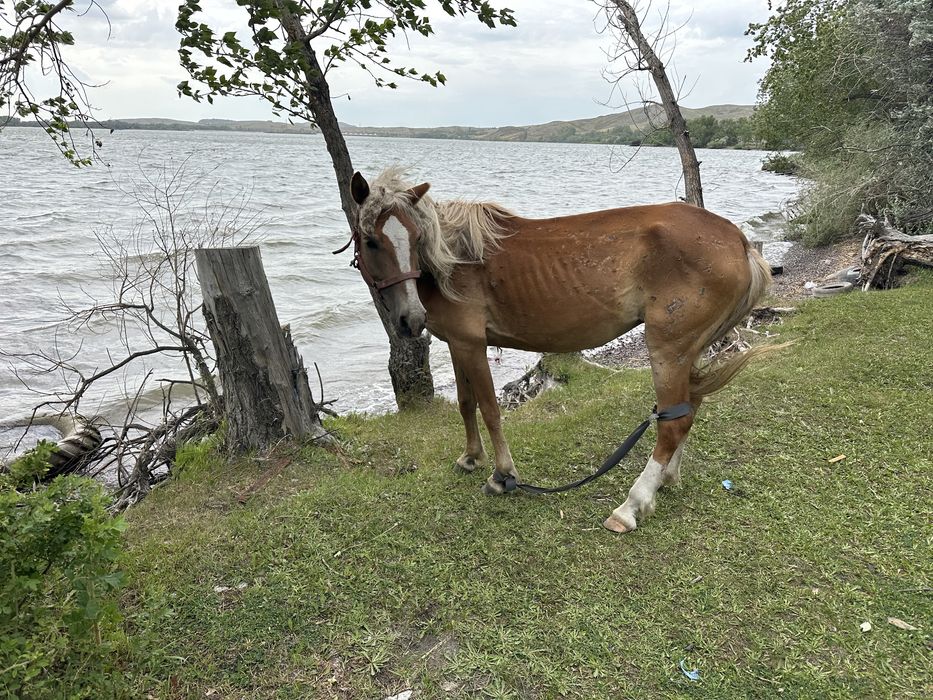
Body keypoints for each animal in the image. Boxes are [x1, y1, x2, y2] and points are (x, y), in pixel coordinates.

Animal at [347, 167, 773, 533]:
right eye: (372, 241)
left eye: (415, 239)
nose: (410, 319)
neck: (456, 259)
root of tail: (738, 240)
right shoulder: (457, 344)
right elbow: (467, 405)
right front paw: (470, 457)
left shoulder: (472, 344)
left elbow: (490, 410)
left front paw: (502, 476)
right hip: (689, 351)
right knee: (687, 410)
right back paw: (666, 480)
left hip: (668, 350)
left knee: (673, 425)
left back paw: (631, 505)